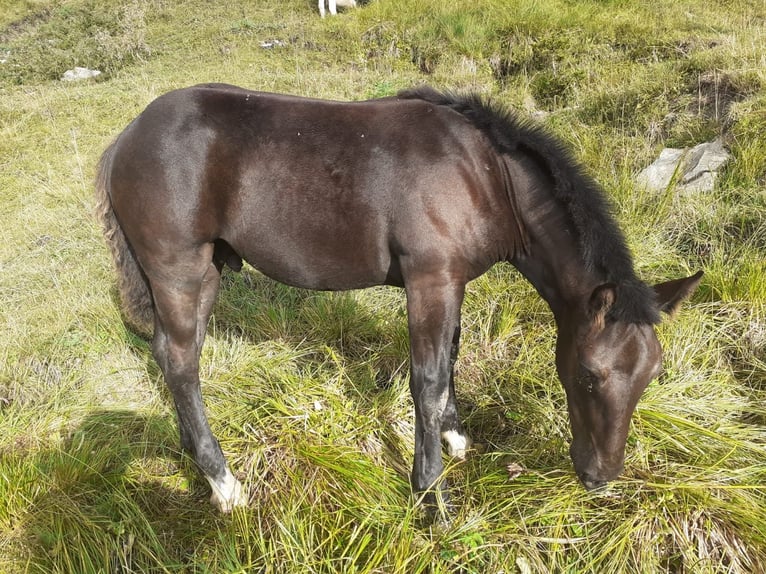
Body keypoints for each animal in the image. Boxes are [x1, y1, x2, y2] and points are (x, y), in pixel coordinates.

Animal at [95, 84, 702, 513]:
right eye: (588, 376)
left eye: (651, 376)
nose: (600, 477)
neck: (485, 176)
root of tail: (126, 137)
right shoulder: (428, 280)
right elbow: (427, 381)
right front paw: (431, 495)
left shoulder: (454, 281)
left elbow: (450, 358)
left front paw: (455, 439)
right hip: (179, 270)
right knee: (180, 361)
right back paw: (222, 482)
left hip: (208, 270)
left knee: (173, 356)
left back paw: (191, 452)